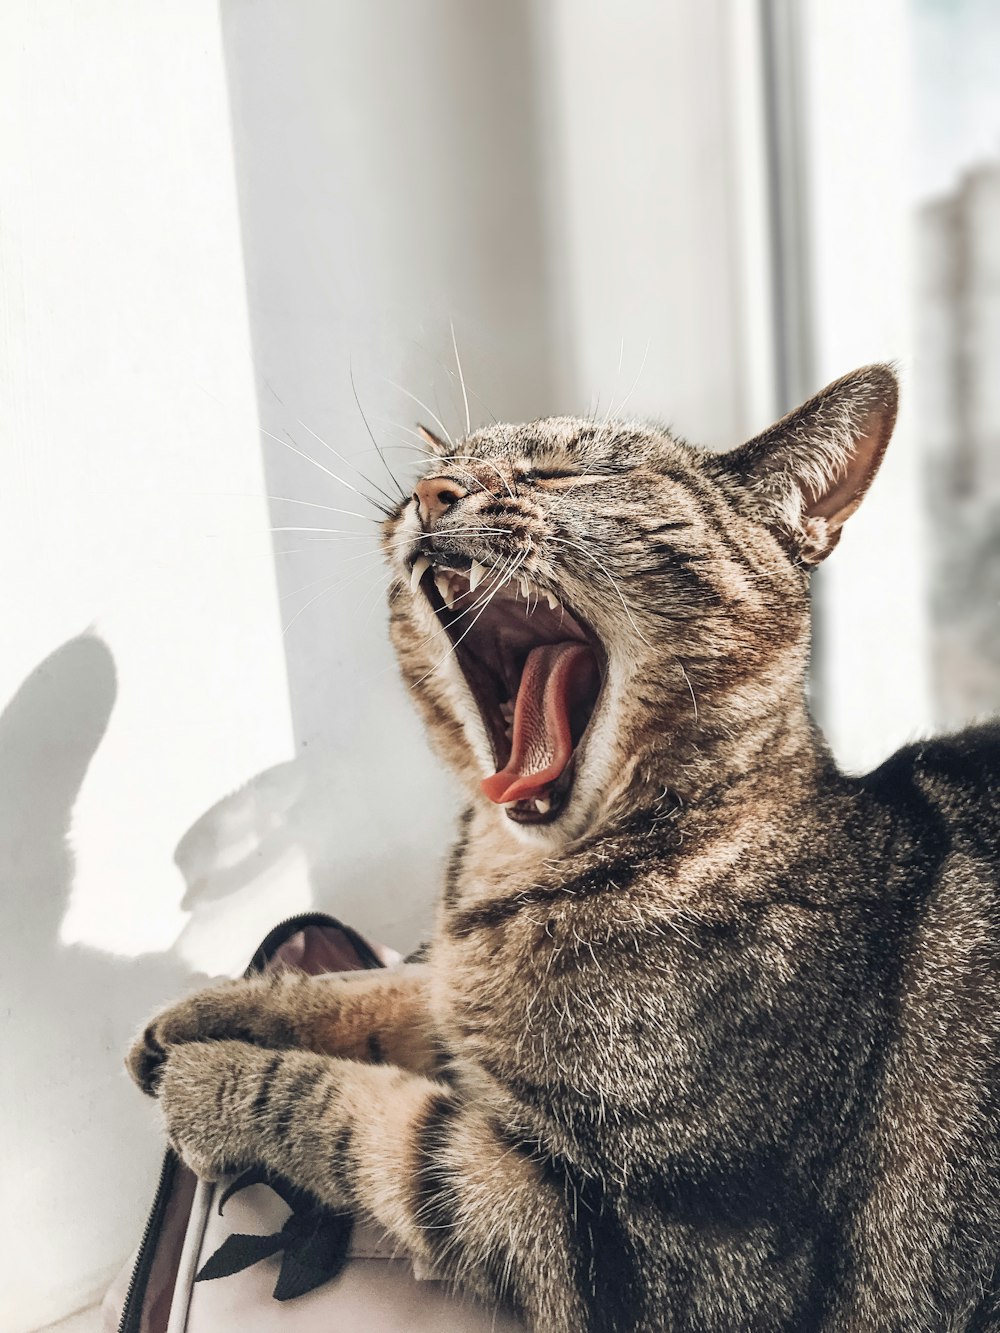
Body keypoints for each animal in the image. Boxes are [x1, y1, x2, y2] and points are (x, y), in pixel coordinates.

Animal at [127, 365, 1000, 1333]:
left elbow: (376, 1120)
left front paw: (212, 1080)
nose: (434, 493)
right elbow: (380, 987)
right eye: (433, 470)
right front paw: (205, 1011)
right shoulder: (450, 997)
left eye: (569, 472)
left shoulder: (661, 1252)